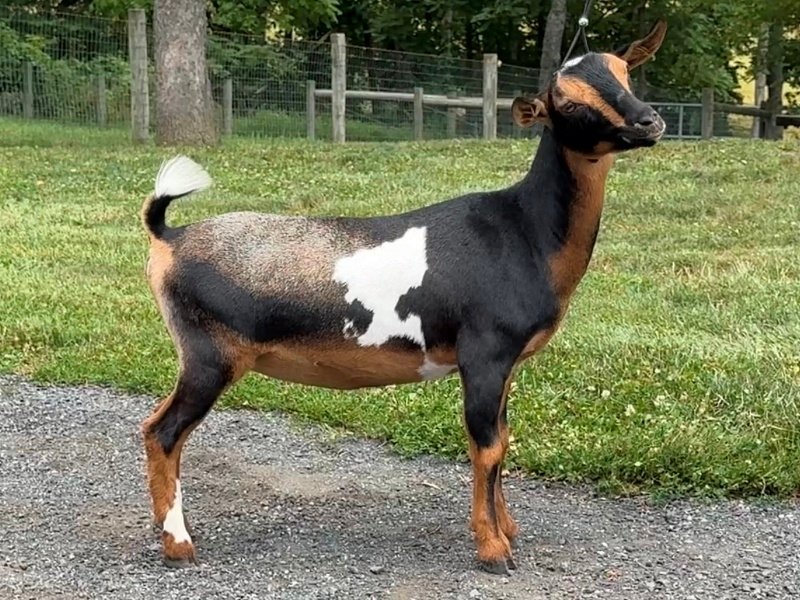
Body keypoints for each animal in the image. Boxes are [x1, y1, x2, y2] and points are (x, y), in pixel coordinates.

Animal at [140, 22, 668, 575]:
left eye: (624, 73)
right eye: (567, 101)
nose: (650, 121)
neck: (523, 231)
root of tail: (169, 237)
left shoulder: (506, 365)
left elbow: (503, 438)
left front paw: (509, 528)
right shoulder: (484, 354)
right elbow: (486, 446)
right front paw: (493, 548)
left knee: (156, 427)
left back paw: (162, 523)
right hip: (209, 356)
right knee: (164, 432)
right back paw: (178, 542)